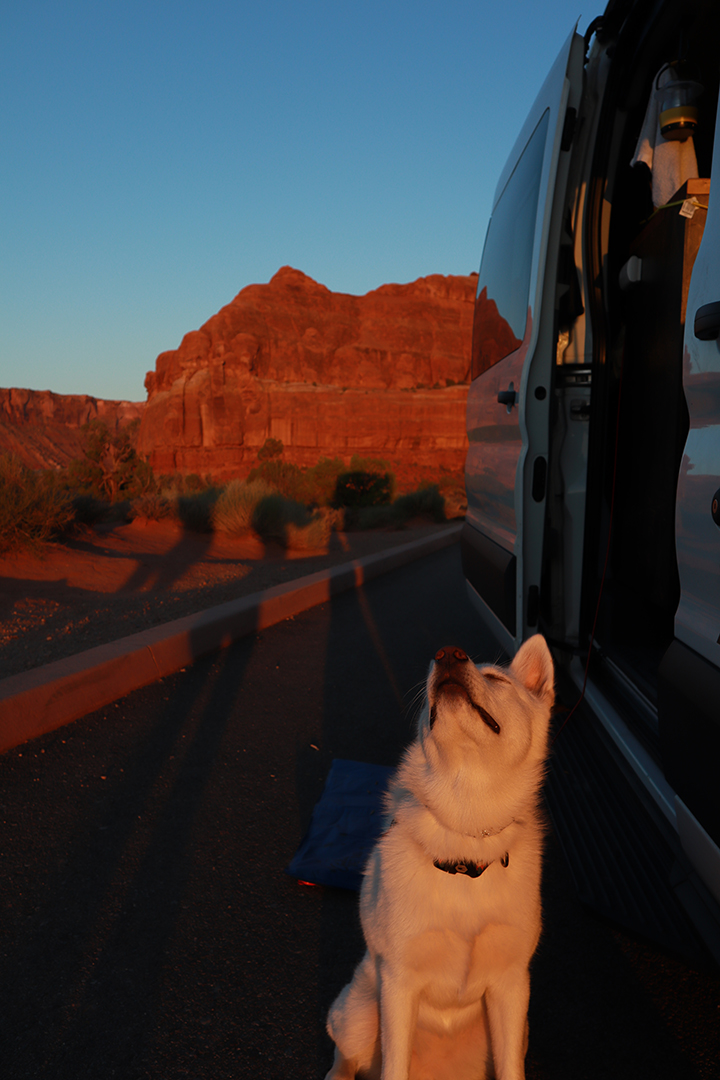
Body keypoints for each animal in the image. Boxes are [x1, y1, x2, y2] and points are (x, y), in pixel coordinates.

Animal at [323, 630, 557, 1080]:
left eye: (496, 679)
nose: (448, 654)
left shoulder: (511, 987)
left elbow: (511, 1070)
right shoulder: (398, 984)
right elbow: (392, 1067)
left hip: (518, 1030)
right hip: (359, 1012)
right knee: (345, 1058)